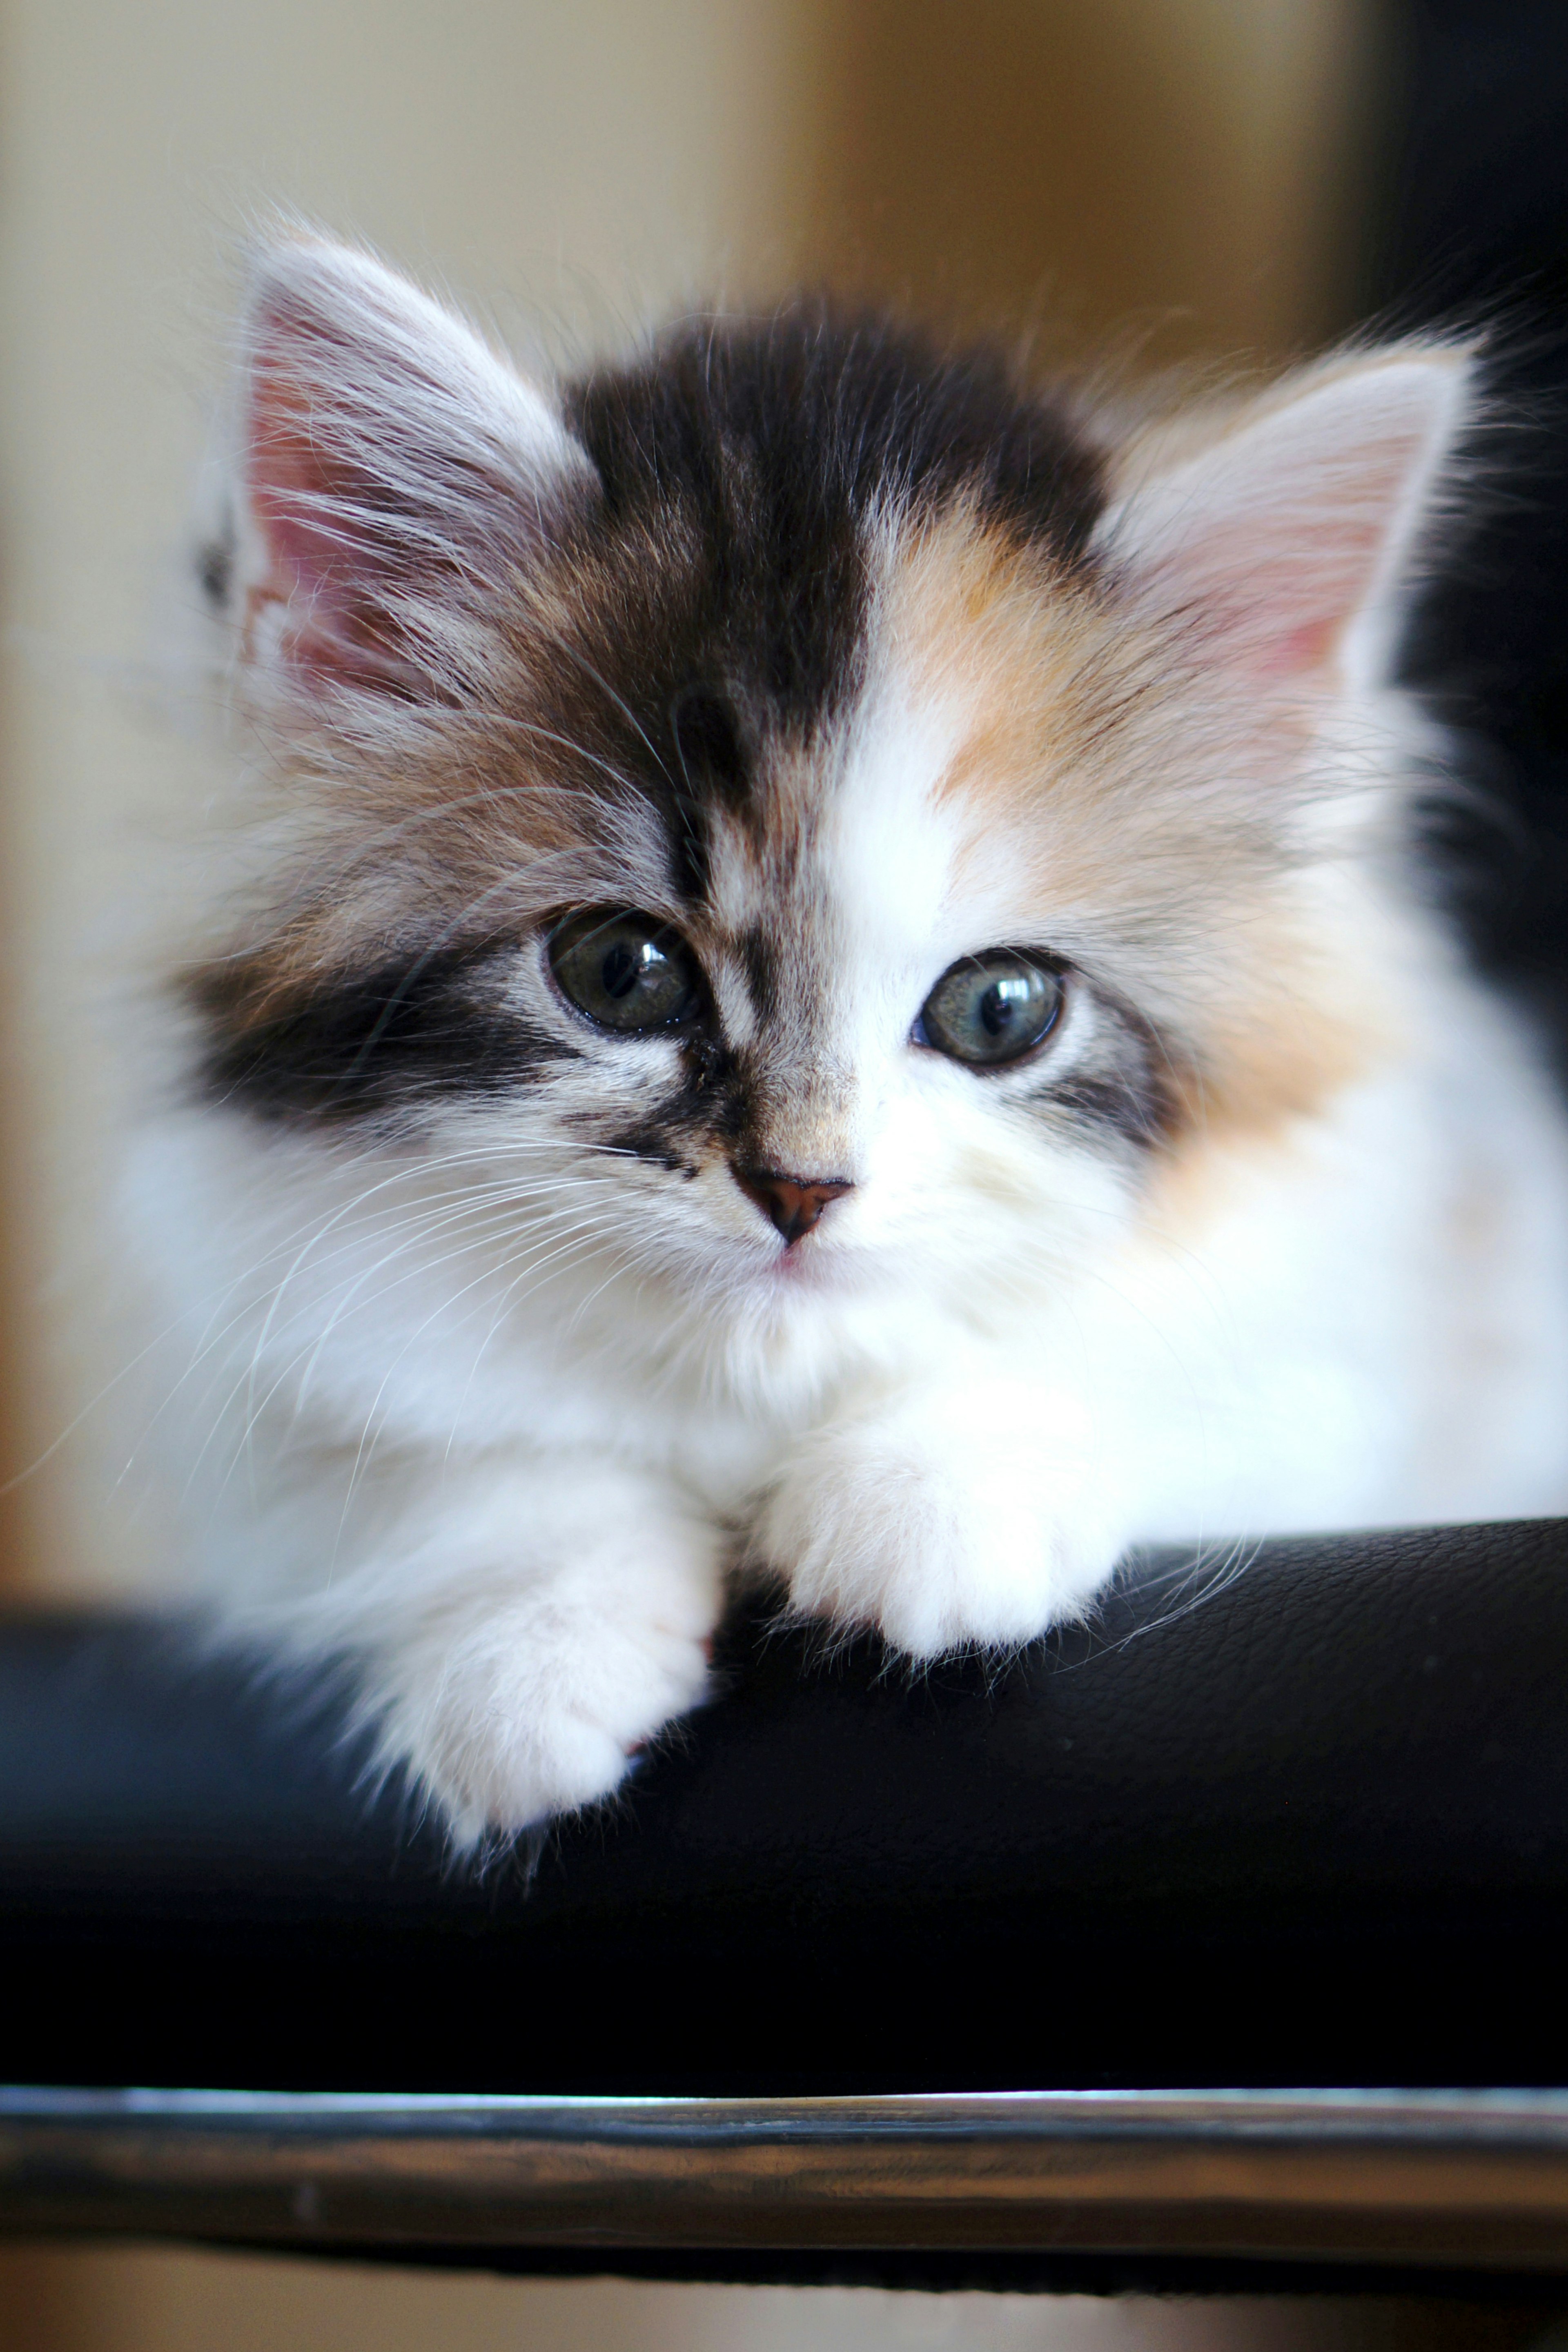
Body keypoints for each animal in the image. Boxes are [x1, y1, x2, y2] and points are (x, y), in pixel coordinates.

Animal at [126, 243, 1568, 1853]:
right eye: (621, 975)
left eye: (1000, 1011)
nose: (803, 1189)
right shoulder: (253, 1390)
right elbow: (431, 1469)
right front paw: (528, 1648)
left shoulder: (1378, 1329)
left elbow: (1155, 1354)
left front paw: (930, 1495)